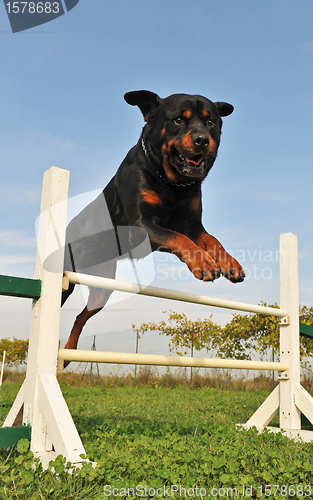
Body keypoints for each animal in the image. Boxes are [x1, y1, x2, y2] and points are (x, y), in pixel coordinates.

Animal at [61, 90, 245, 356]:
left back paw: (68, 352)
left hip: (102, 287)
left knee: (81, 316)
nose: (202, 140)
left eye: (211, 122)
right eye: (178, 119)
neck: (172, 185)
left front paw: (230, 263)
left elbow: (212, 240)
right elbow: (179, 238)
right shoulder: (141, 226)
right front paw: (203, 263)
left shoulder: (192, 225)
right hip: (66, 281)